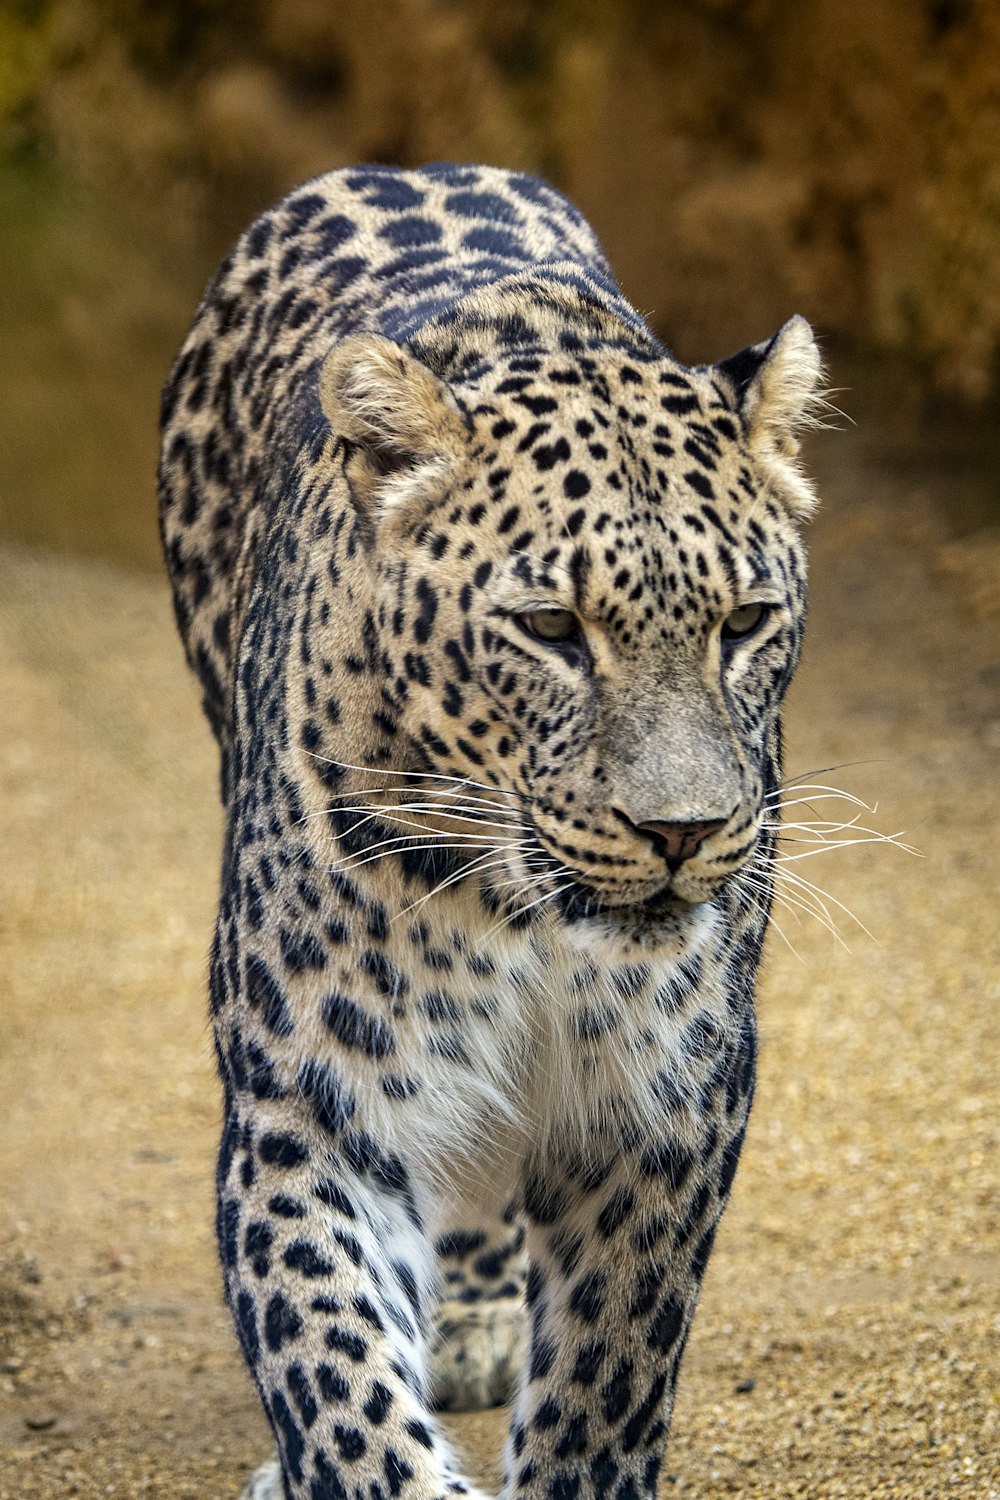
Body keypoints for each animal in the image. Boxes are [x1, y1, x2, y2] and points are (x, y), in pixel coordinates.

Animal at [158, 164, 821, 1500]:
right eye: (550, 629)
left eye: (744, 621)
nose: (682, 832)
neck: (528, 920)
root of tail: (402, 166)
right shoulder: (306, 1099)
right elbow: (333, 1370)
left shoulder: (666, 1100)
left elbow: (610, 1376)